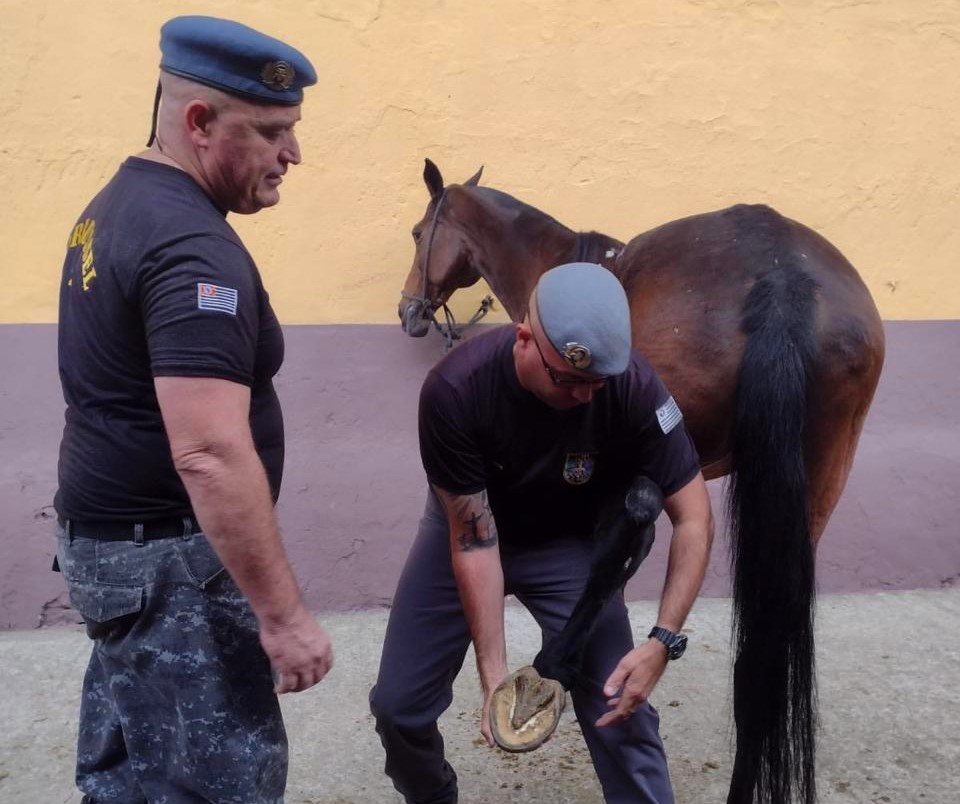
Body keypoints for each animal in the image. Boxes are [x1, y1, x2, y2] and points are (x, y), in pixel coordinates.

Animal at [396, 159, 884, 804]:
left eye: (418, 232)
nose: (409, 311)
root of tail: (783, 280)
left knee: (641, 527)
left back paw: (559, 662)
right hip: (819, 478)